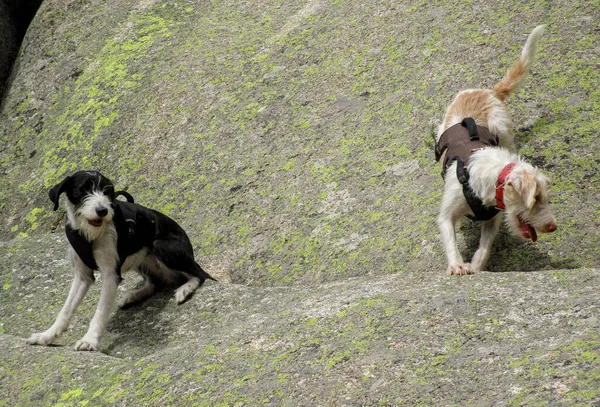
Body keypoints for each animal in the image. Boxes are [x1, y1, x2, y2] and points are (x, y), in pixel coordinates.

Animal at [28, 171, 216, 352]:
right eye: (83, 190)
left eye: (107, 192)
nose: (102, 211)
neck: (90, 235)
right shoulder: (83, 275)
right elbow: (66, 309)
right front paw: (47, 336)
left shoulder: (111, 274)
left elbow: (100, 311)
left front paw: (89, 341)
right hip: (141, 260)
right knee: (156, 282)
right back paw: (133, 296)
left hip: (161, 246)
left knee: (200, 274)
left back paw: (185, 289)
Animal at [436, 26, 556, 278]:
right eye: (535, 199)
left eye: (545, 199)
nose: (552, 226)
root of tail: (488, 91)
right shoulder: (447, 213)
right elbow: (450, 237)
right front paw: (457, 264)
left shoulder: (493, 218)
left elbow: (485, 246)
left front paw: (475, 266)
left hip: (504, 131)